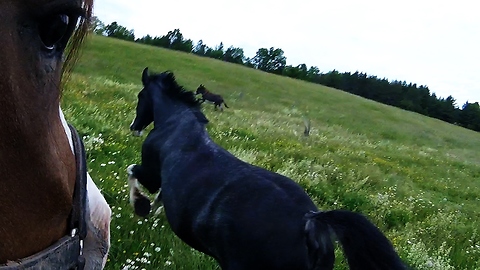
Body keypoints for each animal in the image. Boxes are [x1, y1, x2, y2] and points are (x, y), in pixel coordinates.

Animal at [125, 66, 406, 268]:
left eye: (140, 96)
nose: (134, 128)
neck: (177, 123)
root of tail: (310, 222)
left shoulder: (152, 174)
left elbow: (134, 173)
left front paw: (141, 206)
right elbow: (159, 195)